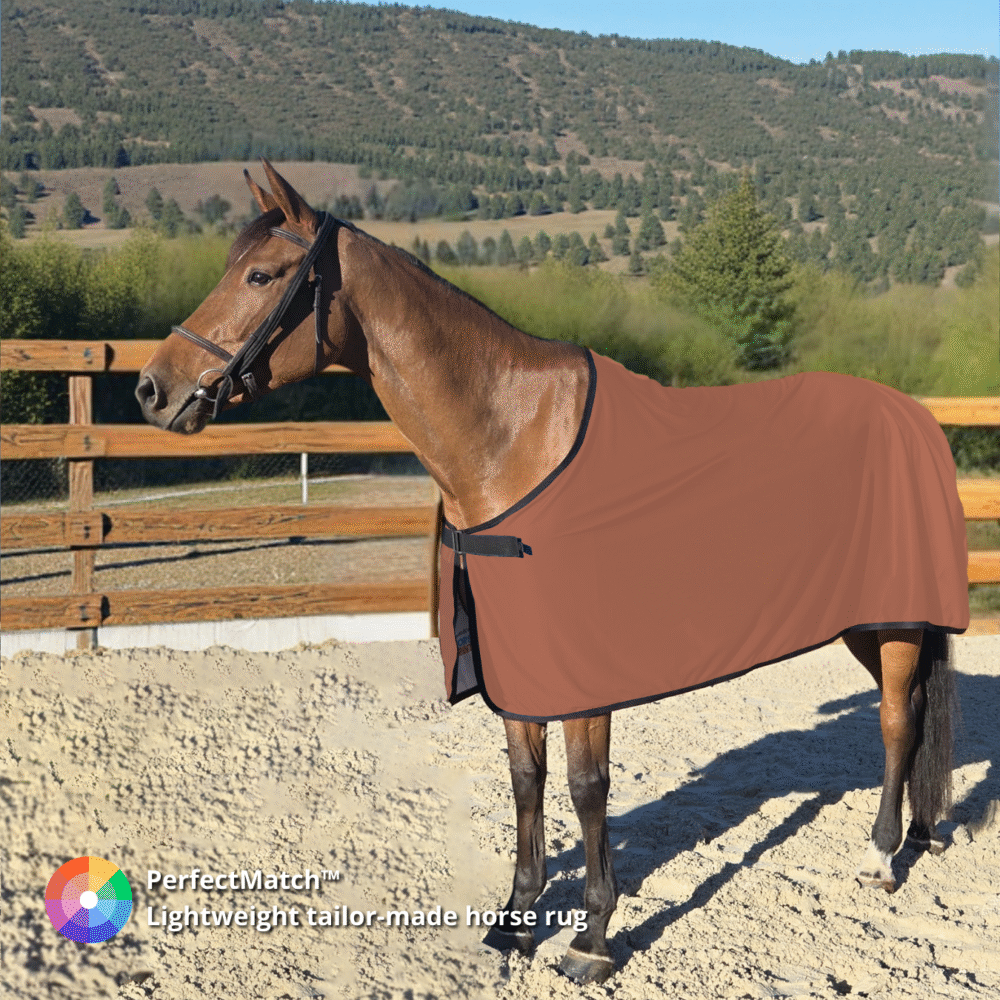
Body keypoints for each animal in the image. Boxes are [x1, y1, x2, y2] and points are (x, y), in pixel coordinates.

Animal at [136, 161, 967, 985]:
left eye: (260, 274)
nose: (152, 390)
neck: (510, 437)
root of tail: (913, 415)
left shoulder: (580, 676)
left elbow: (586, 788)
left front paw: (592, 938)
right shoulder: (520, 662)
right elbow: (525, 782)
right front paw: (515, 922)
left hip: (894, 620)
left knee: (897, 720)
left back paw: (880, 858)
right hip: (865, 622)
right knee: (912, 712)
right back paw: (918, 835)